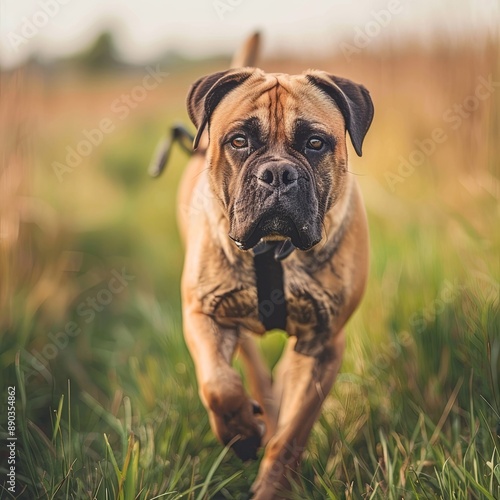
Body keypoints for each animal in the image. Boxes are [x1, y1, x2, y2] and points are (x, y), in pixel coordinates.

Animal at [150, 33, 374, 498]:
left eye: (314, 143)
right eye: (239, 141)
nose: (277, 174)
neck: (273, 251)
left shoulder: (323, 344)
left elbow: (292, 434)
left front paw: (272, 484)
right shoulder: (203, 313)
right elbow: (218, 385)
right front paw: (240, 433)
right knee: (250, 370)